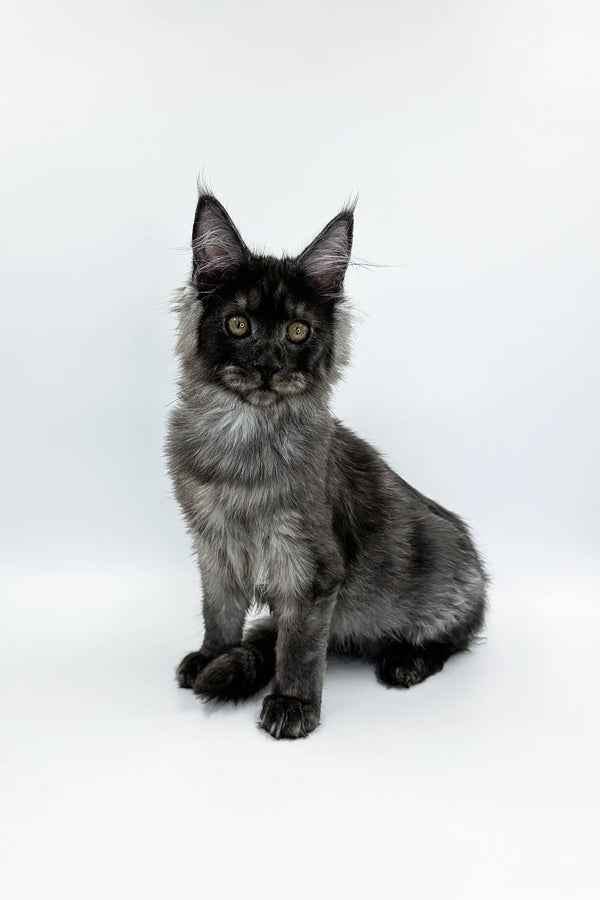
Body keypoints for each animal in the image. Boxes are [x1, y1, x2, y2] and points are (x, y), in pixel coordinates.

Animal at [166, 190, 486, 740]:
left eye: (298, 331)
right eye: (238, 324)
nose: (267, 365)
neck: (243, 437)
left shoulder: (310, 568)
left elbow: (299, 646)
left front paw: (293, 704)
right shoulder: (214, 546)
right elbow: (220, 614)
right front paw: (213, 657)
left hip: (450, 579)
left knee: (455, 637)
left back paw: (407, 659)